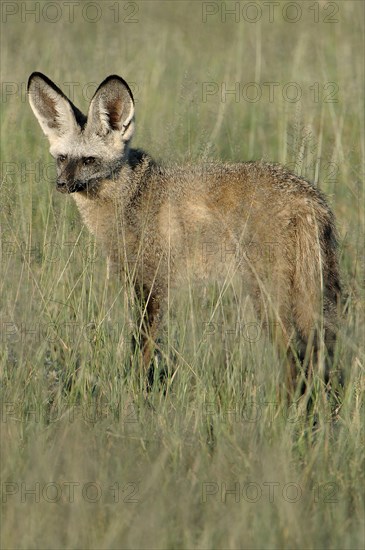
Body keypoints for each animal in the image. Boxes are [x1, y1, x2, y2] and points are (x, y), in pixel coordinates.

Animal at [27, 73, 340, 394]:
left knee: (293, 359)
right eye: (62, 158)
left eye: (88, 160)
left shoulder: (152, 285)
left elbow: (142, 349)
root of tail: (308, 197)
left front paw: (134, 392)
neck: (133, 196)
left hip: (268, 300)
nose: (61, 184)